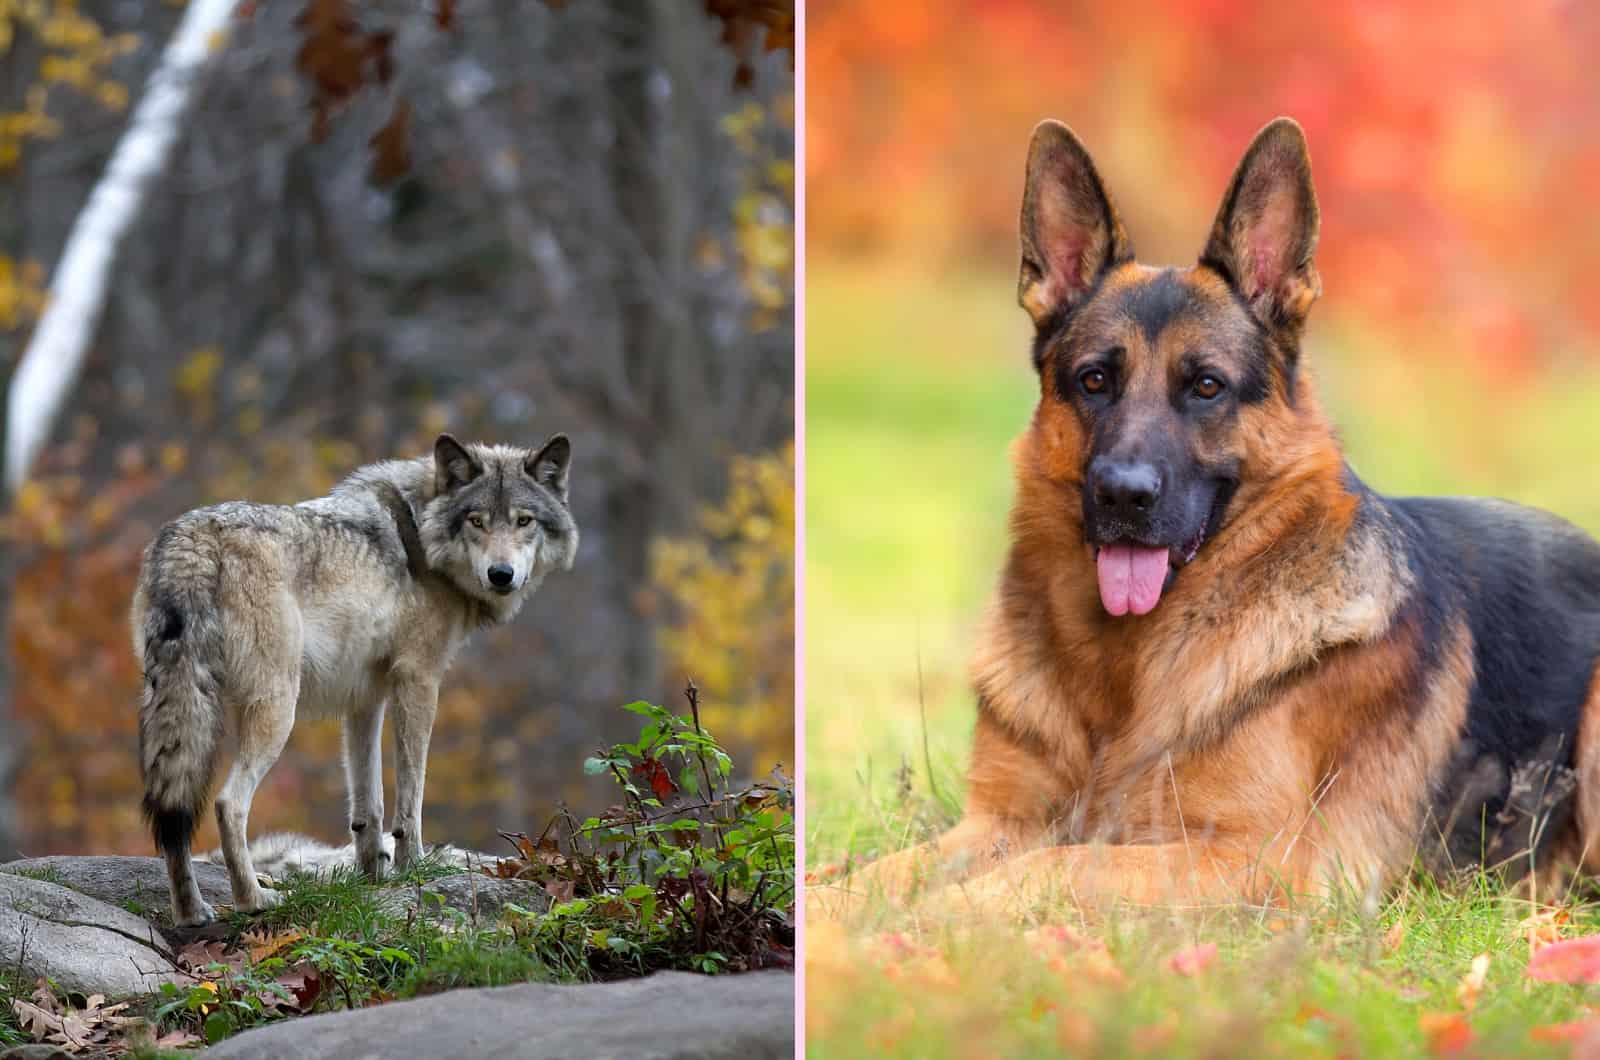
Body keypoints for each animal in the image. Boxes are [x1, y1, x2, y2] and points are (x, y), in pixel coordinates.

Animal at [134, 435, 579, 928]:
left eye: (524, 520)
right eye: (476, 521)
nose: (501, 575)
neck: (420, 535)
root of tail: (192, 538)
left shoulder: (364, 698)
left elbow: (369, 805)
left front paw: (372, 877)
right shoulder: (419, 680)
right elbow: (410, 796)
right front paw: (412, 868)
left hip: (178, 707)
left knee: (173, 815)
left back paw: (192, 913)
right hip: (277, 710)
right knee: (228, 803)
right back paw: (254, 899)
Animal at [819, 118, 1600, 922]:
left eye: (1205, 387)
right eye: (1094, 380)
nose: (1123, 496)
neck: (1122, 671)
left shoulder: (1257, 860)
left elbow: (1052, 865)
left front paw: (938, 920)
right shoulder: (994, 822)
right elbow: (876, 873)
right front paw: (839, 913)